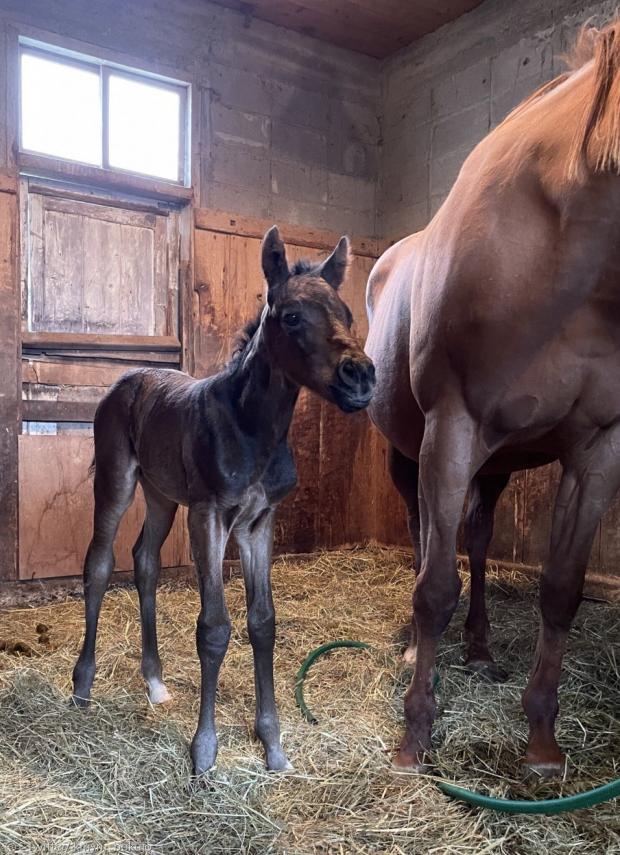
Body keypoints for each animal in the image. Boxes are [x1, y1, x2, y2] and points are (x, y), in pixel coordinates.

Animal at [72, 227, 372, 776]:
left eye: (347, 312)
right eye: (291, 316)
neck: (253, 429)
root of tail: (129, 378)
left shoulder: (259, 522)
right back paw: (82, 686)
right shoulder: (208, 516)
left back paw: (155, 682)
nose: (359, 377)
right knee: (100, 563)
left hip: (162, 495)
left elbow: (262, 622)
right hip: (118, 480)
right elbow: (213, 627)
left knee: (144, 561)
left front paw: (273, 745)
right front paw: (204, 751)